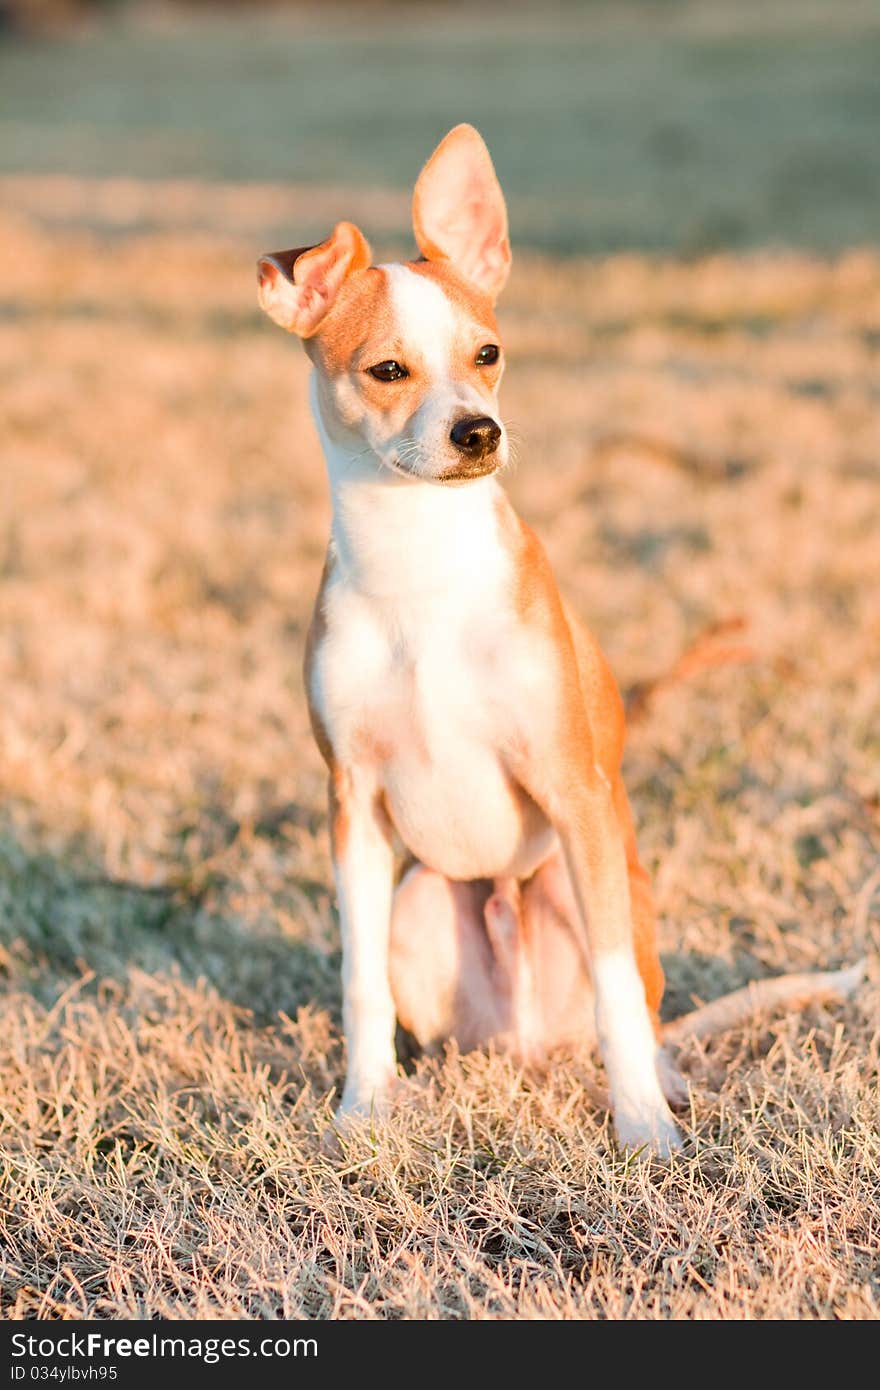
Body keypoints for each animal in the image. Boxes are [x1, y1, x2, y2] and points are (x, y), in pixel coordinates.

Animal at [257, 130, 861, 1156]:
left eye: (488, 353)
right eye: (388, 371)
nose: (479, 431)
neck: (419, 566)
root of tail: (535, 1039)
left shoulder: (575, 792)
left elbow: (619, 999)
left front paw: (642, 1130)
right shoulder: (353, 808)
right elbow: (358, 983)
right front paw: (362, 1110)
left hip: (602, 886)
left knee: (643, 1012)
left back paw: (662, 1082)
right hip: (422, 899)